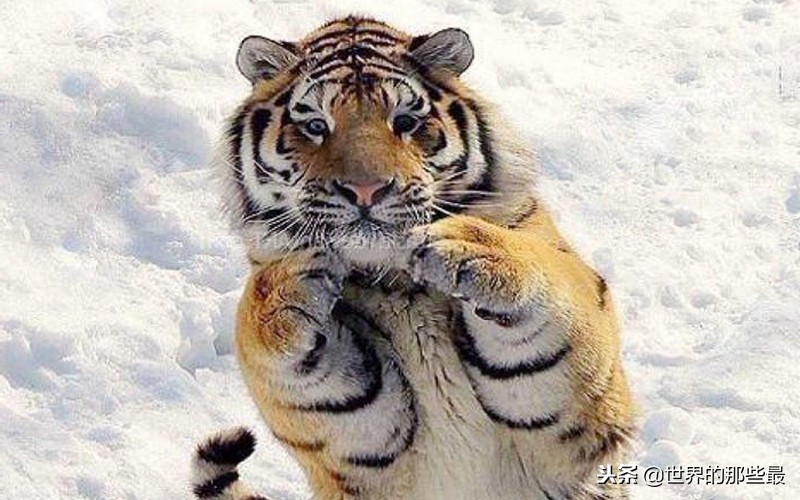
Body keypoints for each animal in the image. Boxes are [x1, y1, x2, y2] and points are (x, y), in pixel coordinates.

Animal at [192, 15, 636, 500]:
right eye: (315, 125)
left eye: (405, 120)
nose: (366, 190)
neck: (399, 283)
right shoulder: (355, 442)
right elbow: (258, 337)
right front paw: (292, 284)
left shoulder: (582, 405)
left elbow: (550, 278)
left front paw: (465, 246)